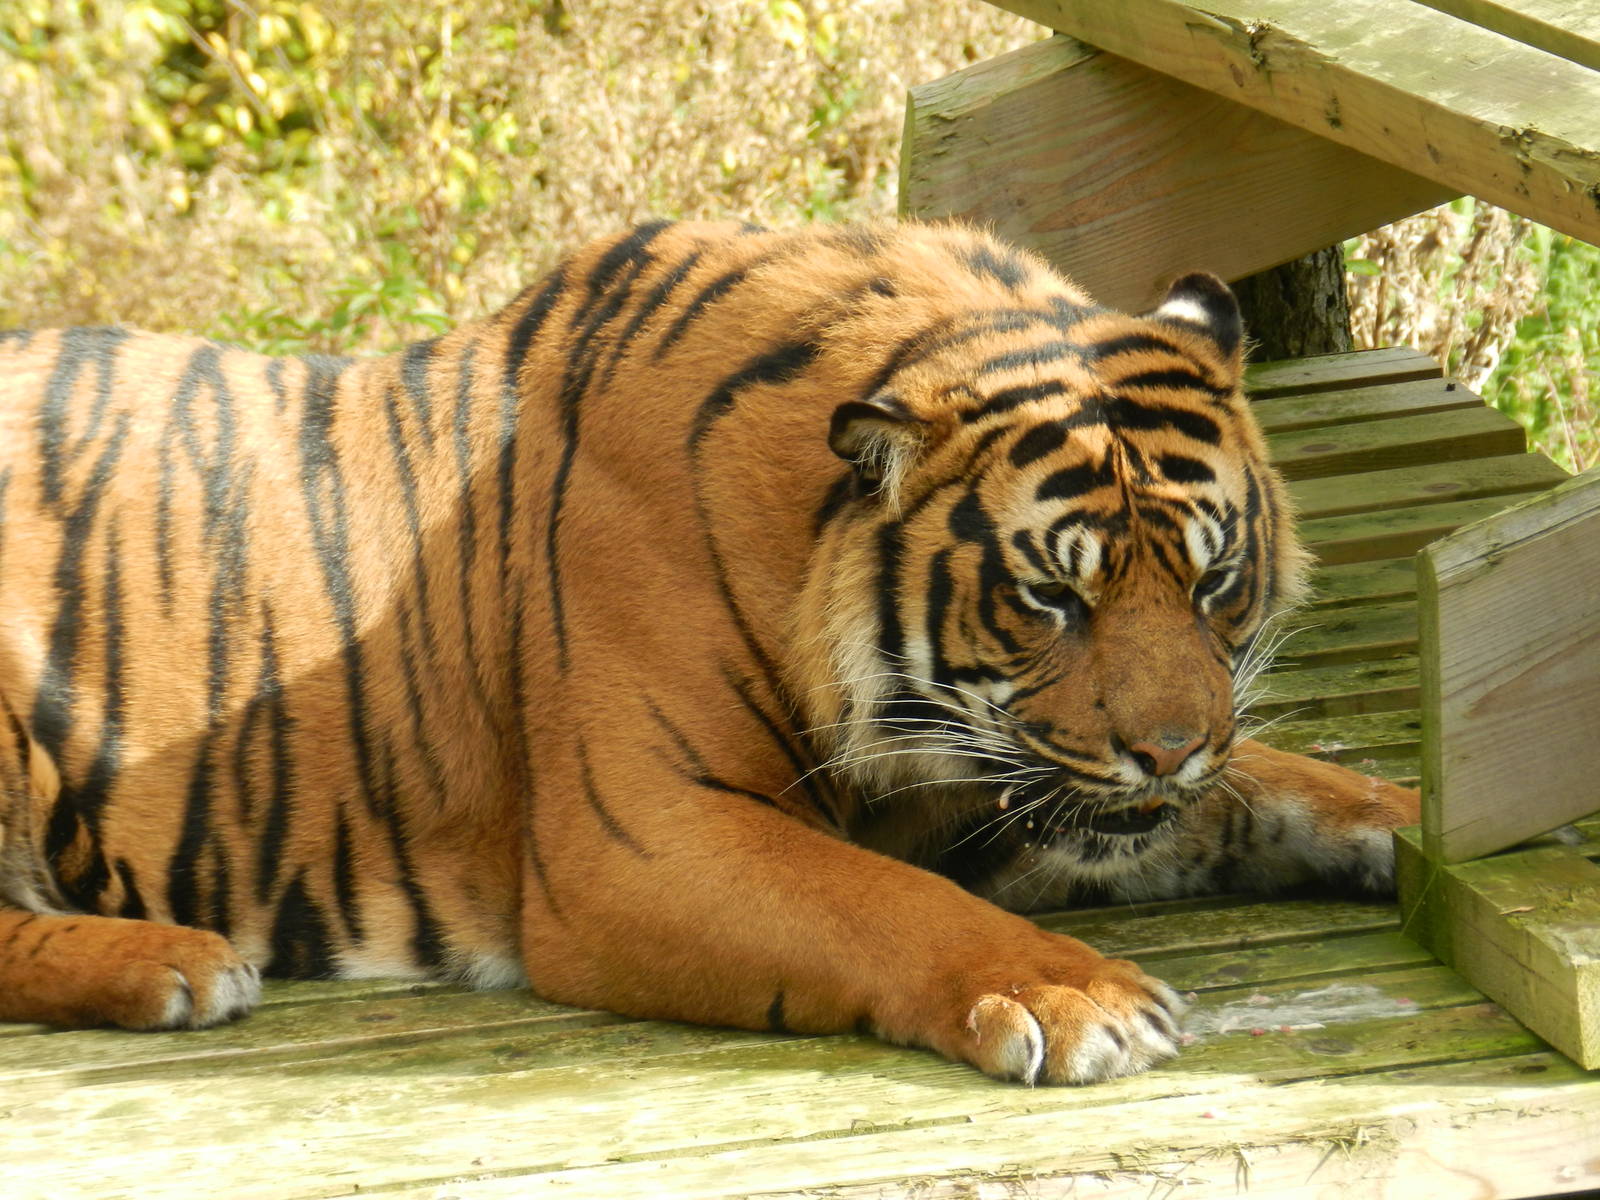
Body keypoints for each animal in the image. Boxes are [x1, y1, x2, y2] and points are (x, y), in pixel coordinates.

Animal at [0, 220, 1419, 1085]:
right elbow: (881, 904)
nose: (1169, 750)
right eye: (1049, 597)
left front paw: (1417, 821)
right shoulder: (635, 837)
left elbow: (1287, 782)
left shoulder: (1018, 799)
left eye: (1214, 579)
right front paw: (1079, 1001)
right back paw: (177, 963)